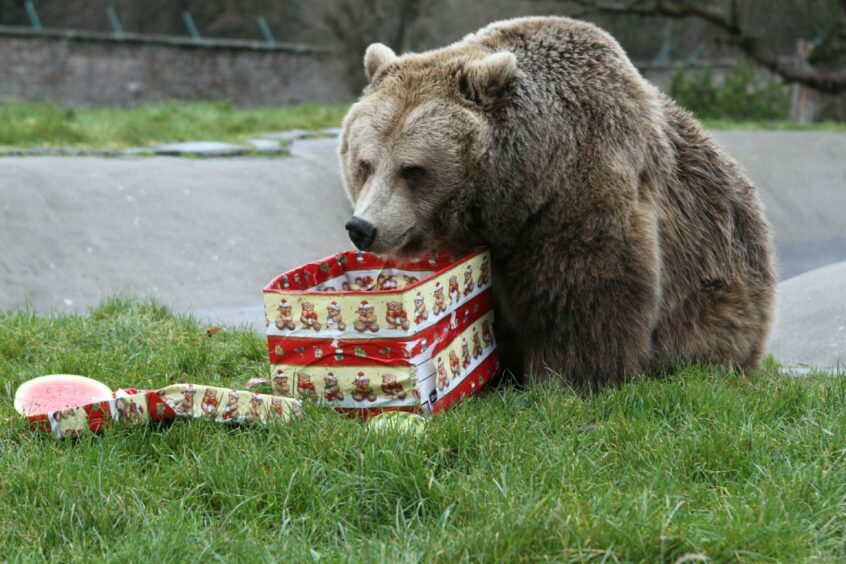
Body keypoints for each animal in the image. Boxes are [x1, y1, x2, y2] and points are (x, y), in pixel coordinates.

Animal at [338, 16, 776, 388]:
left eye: (412, 170)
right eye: (365, 164)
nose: (363, 227)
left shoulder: (580, 185)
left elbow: (583, 291)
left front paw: (569, 376)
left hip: (715, 280)